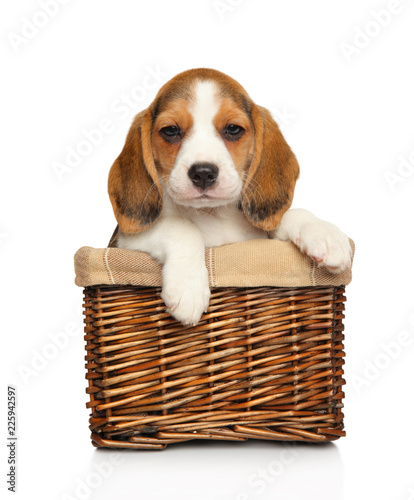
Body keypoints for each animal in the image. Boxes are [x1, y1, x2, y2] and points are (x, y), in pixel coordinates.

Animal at [107, 70, 352, 326]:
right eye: (171, 130)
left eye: (233, 129)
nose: (203, 173)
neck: (212, 214)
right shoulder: (126, 241)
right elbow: (181, 227)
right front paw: (188, 288)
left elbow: (291, 215)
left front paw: (324, 234)